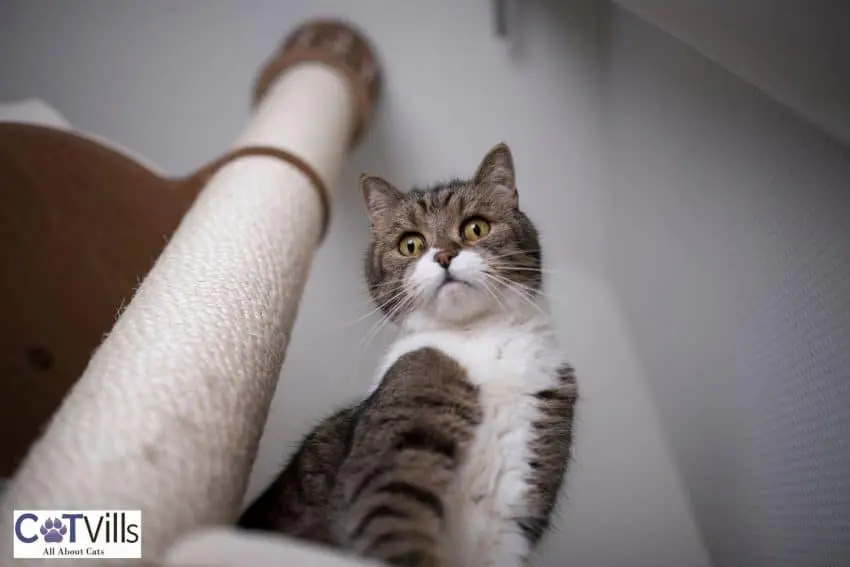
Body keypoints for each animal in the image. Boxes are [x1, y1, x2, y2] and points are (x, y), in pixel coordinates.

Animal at [238, 143, 576, 567]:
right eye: (410, 244)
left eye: (476, 228)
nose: (444, 255)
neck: (481, 337)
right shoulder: (400, 432)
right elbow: (391, 508)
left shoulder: (527, 481)